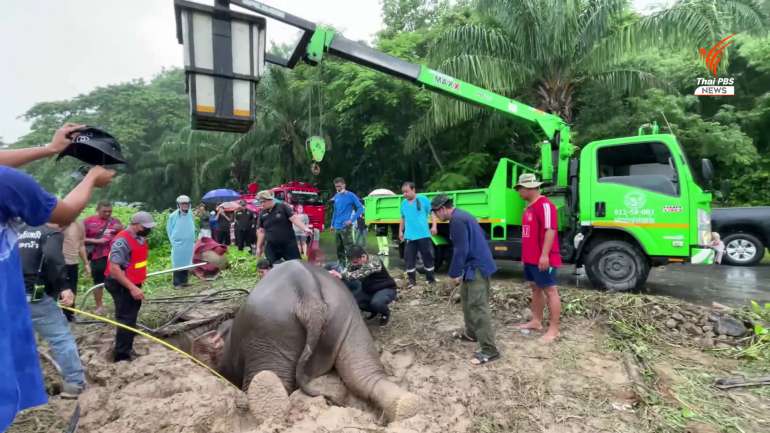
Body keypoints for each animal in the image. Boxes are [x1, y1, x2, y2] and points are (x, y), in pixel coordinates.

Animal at [190, 260, 424, 422]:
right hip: (349, 318)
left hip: (269, 333)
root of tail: (308, 293)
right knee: (364, 374)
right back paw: (408, 406)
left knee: (270, 380)